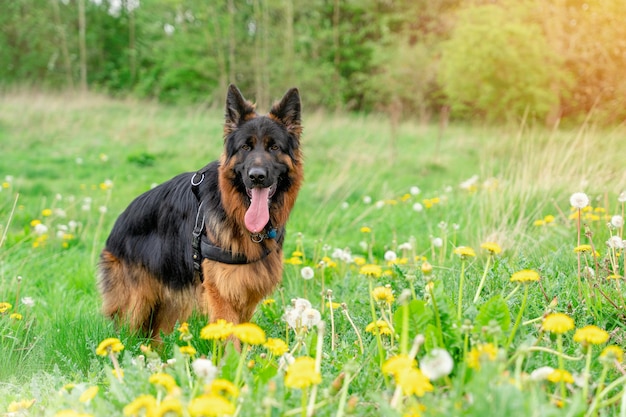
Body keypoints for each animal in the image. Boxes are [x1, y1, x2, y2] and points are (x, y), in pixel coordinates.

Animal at [97, 84, 302, 338]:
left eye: (274, 147)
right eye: (245, 147)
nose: (256, 176)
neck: (235, 213)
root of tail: (117, 225)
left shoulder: (245, 293)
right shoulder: (222, 293)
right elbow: (230, 340)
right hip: (135, 308)